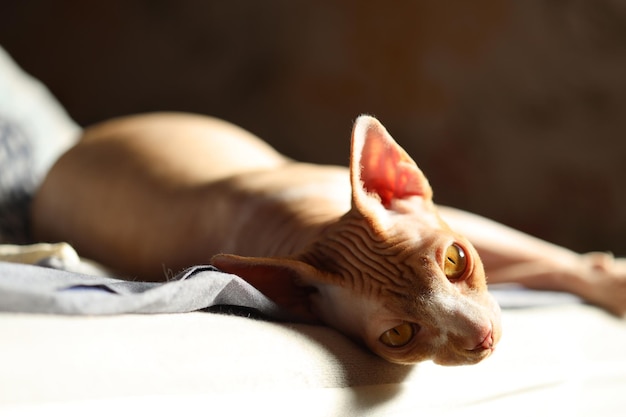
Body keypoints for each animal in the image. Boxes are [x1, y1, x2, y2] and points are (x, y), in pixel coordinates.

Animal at [29, 113, 624, 364]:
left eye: (455, 261)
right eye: (399, 335)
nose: (483, 338)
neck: (302, 226)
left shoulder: (463, 222)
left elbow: (546, 257)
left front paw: (611, 280)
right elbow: (538, 267)